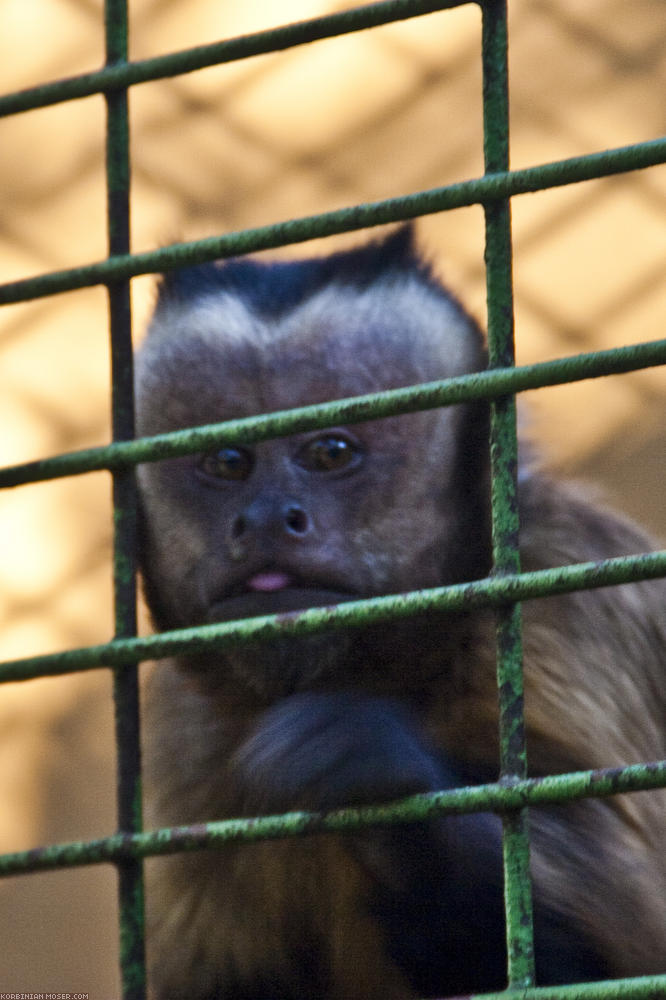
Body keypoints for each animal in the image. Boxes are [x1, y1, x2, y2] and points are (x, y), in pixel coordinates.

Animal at [135, 229, 664, 1000]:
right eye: (229, 462)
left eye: (330, 452)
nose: (266, 518)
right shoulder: (186, 735)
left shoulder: (569, 614)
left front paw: (371, 772)